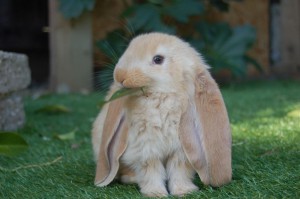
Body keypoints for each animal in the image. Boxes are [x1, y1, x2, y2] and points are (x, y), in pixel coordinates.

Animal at [92, 31, 232, 197]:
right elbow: (151, 172)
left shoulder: (181, 152)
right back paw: (131, 178)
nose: (120, 75)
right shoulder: (145, 150)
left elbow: (179, 171)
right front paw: (156, 193)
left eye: (158, 59)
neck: (159, 96)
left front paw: (184, 191)